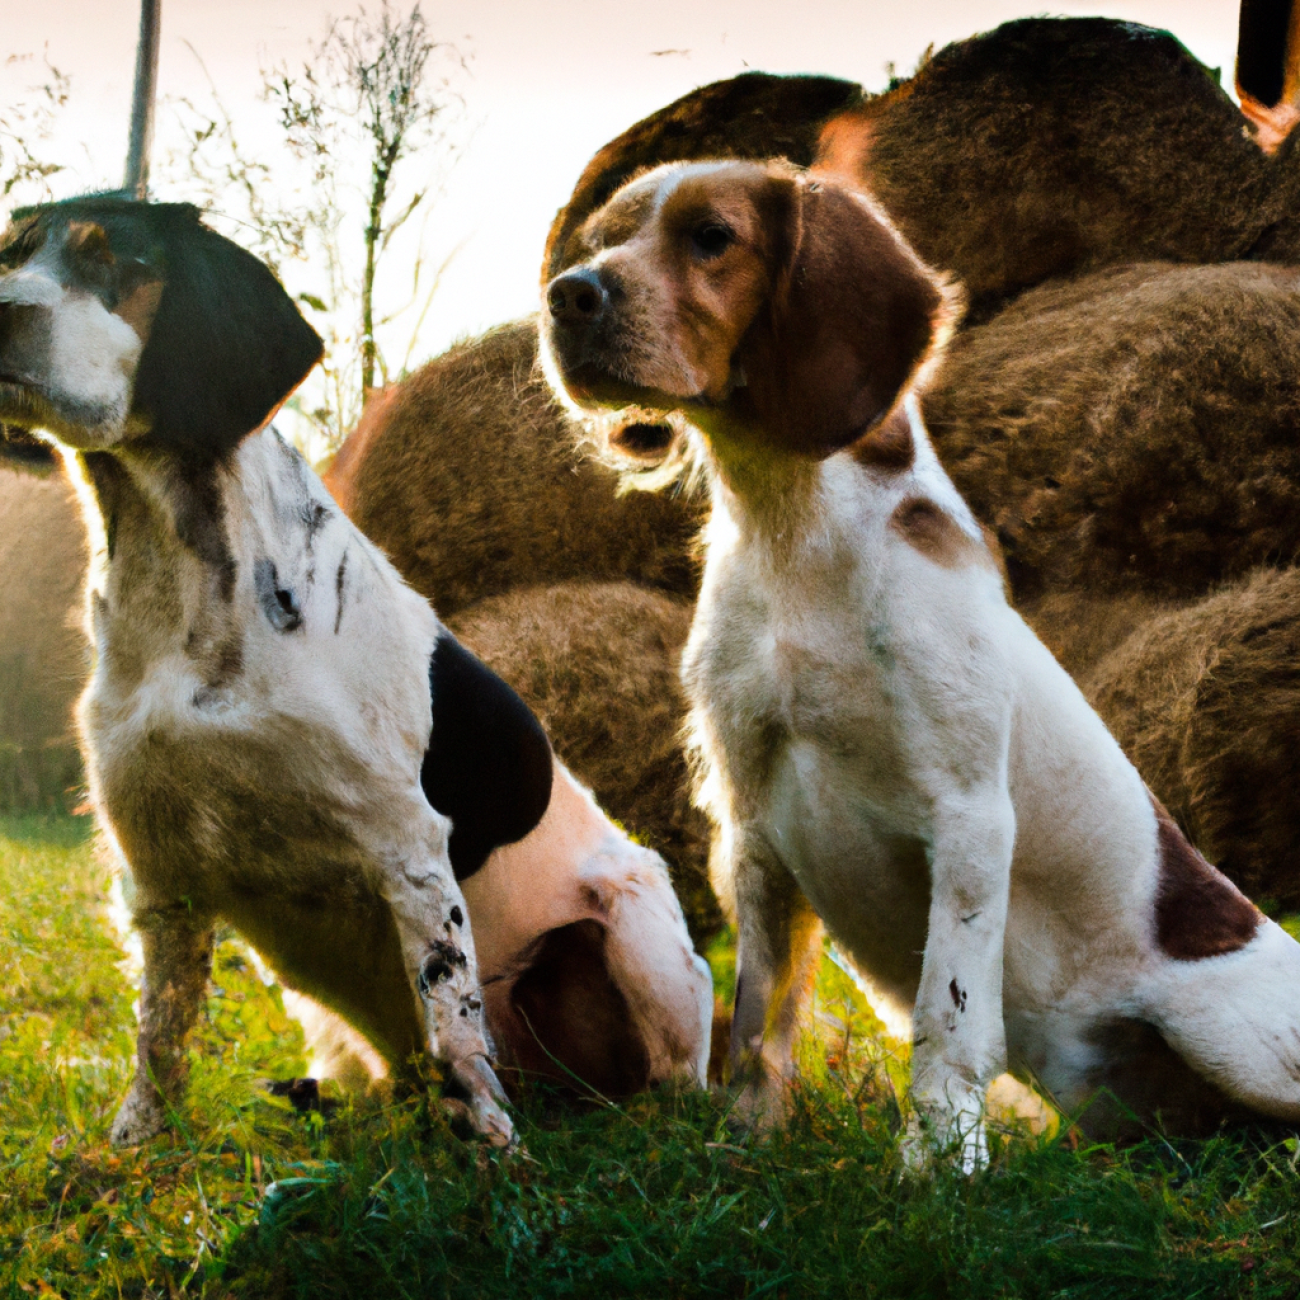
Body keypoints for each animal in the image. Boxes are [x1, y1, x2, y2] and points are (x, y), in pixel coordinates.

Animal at [0, 195, 712, 1149]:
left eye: (109, 256)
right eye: (11, 253)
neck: (191, 588)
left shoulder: (409, 852)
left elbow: (455, 1030)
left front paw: (494, 1156)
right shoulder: (160, 876)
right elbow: (160, 1041)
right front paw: (130, 1156)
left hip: (637, 923)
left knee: (663, 1077)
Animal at [540, 162, 1300, 1170]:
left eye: (711, 237)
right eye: (606, 239)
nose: (566, 295)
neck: (791, 537)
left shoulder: (968, 816)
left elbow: (950, 1017)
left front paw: (938, 1167)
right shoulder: (753, 828)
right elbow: (757, 1023)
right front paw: (747, 1147)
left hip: (1233, 1036)